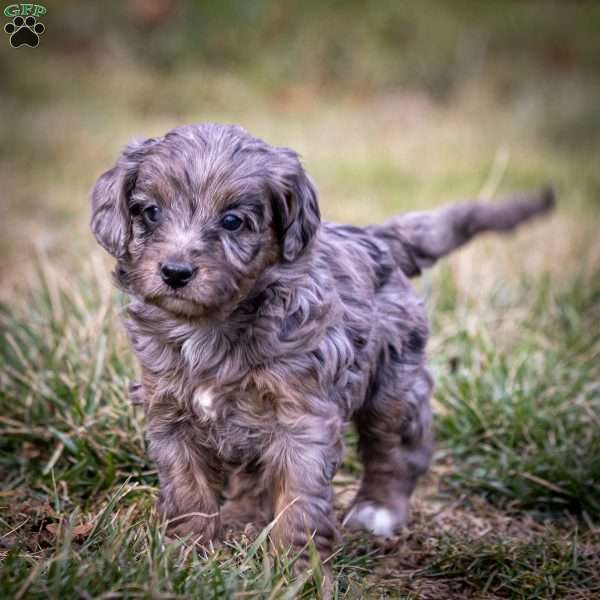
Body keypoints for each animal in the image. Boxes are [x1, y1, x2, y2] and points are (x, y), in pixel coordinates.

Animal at [89, 124, 552, 560]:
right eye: (150, 212)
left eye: (233, 221)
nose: (175, 272)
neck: (213, 325)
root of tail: (377, 237)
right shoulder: (170, 412)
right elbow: (188, 490)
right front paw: (186, 553)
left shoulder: (303, 417)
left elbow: (299, 498)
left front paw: (297, 569)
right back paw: (242, 518)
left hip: (391, 386)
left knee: (396, 452)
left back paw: (378, 511)